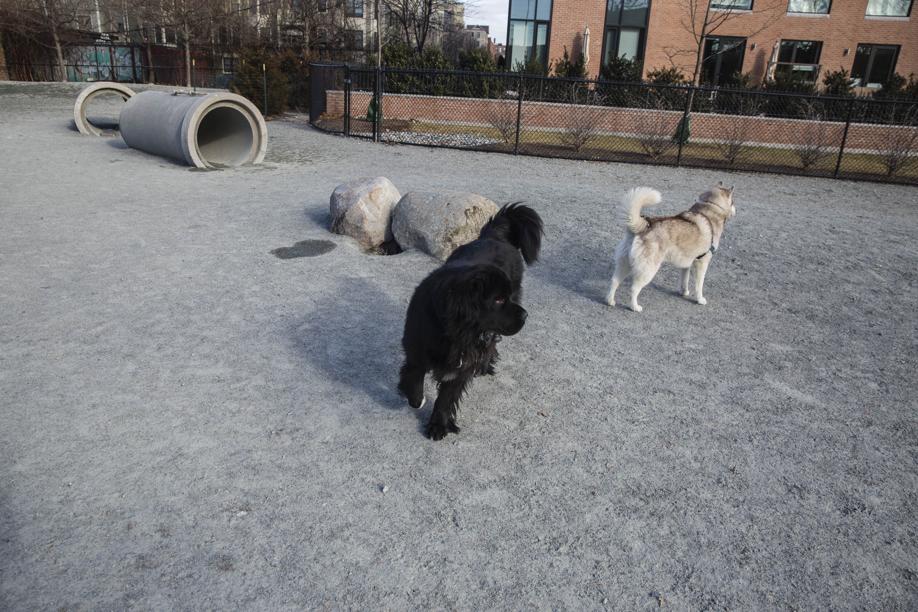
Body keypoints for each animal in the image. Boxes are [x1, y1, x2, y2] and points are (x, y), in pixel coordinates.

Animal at [398, 204, 544, 440]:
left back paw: (484, 365)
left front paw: (438, 424)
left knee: (491, 342)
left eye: (507, 297)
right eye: (498, 299)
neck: (454, 331)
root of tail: (493, 236)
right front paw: (414, 398)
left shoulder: (462, 365)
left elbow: (446, 398)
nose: (525, 316)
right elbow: (414, 376)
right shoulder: (416, 347)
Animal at [608, 183, 736, 314]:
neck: (711, 206)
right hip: (648, 269)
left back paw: (610, 301)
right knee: (634, 288)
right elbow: (699, 285)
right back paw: (635, 307)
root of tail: (645, 225)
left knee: (615, 281)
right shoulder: (702, 262)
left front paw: (684, 292)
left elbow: (685, 279)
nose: (735, 211)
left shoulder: (687, 263)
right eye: (733, 202)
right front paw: (700, 299)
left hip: (624, 263)